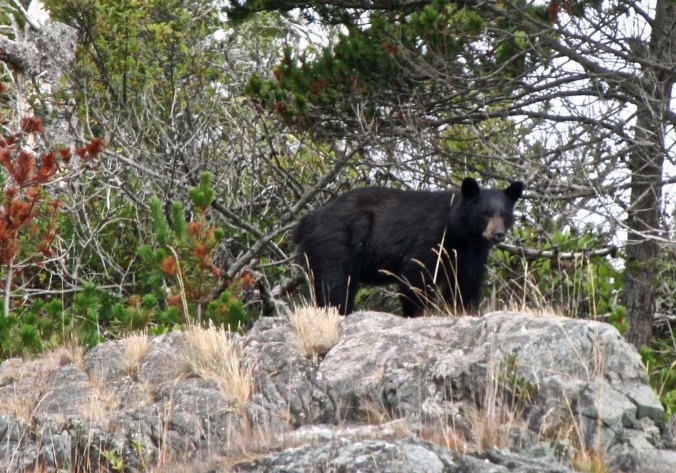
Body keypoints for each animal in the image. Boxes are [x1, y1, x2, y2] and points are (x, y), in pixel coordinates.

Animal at [292, 177, 523, 316]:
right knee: (335, 285)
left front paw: (464, 310)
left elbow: (465, 282)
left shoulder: (472, 253)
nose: (498, 234)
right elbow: (416, 275)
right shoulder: (432, 236)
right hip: (336, 244)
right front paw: (417, 313)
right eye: (485, 213)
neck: (462, 232)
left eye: (504, 214)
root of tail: (304, 222)